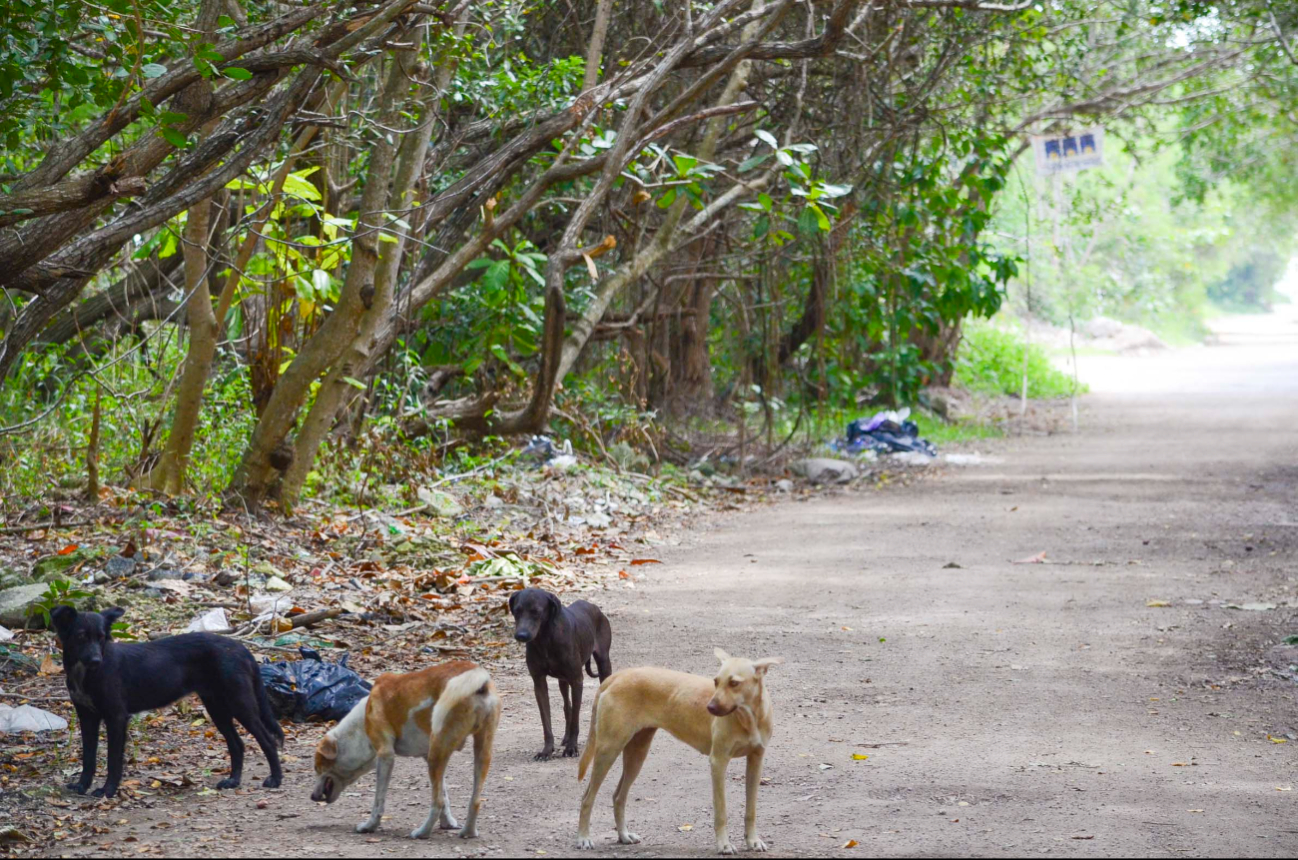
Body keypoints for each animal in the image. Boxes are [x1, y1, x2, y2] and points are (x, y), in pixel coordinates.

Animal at [52, 604, 284, 799]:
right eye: (81, 636)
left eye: (101, 638)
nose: (96, 661)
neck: (85, 674)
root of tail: (241, 648)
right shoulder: (87, 717)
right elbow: (88, 757)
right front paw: (82, 786)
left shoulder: (116, 717)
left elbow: (113, 759)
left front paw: (108, 790)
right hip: (217, 707)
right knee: (237, 744)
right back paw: (233, 780)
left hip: (239, 703)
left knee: (267, 739)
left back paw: (275, 779)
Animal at [308, 658, 501, 840]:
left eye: (317, 768)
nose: (312, 797)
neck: (361, 721)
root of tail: (477, 677)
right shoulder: (426, 755)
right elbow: (445, 796)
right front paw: (448, 823)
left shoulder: (386, 756)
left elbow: (379, 801)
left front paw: (369, 826)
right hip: (478, 752)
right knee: (474, 801)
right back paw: (468, 832)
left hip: (437, 753)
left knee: (437, 802)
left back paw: (423, 832)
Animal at [508, 586, 610, 762]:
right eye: (516, 611)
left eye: (536, 611)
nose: (521, 635)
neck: (545, 638)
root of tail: (595, 608)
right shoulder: (539, 682)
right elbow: (546, 722)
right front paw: (547, 751)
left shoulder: (577, 680)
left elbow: (576, 718)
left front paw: (571, 748)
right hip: (563, 680)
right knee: (566, 706)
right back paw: (566, 737)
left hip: (604, 664)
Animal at [578, 653, 778, 856]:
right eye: (716, 681)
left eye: (734, 683)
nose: (710, 708)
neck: (749, 717)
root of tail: (616, 676)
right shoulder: (718, 762)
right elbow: (721, 811)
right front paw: (724, 844)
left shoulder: (756, 761)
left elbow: (751, 810)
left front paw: (753, 841)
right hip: (608, 750)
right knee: (587, 798)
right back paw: (584, 837)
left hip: (637, 754)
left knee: (618, 797)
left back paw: (624, 835)